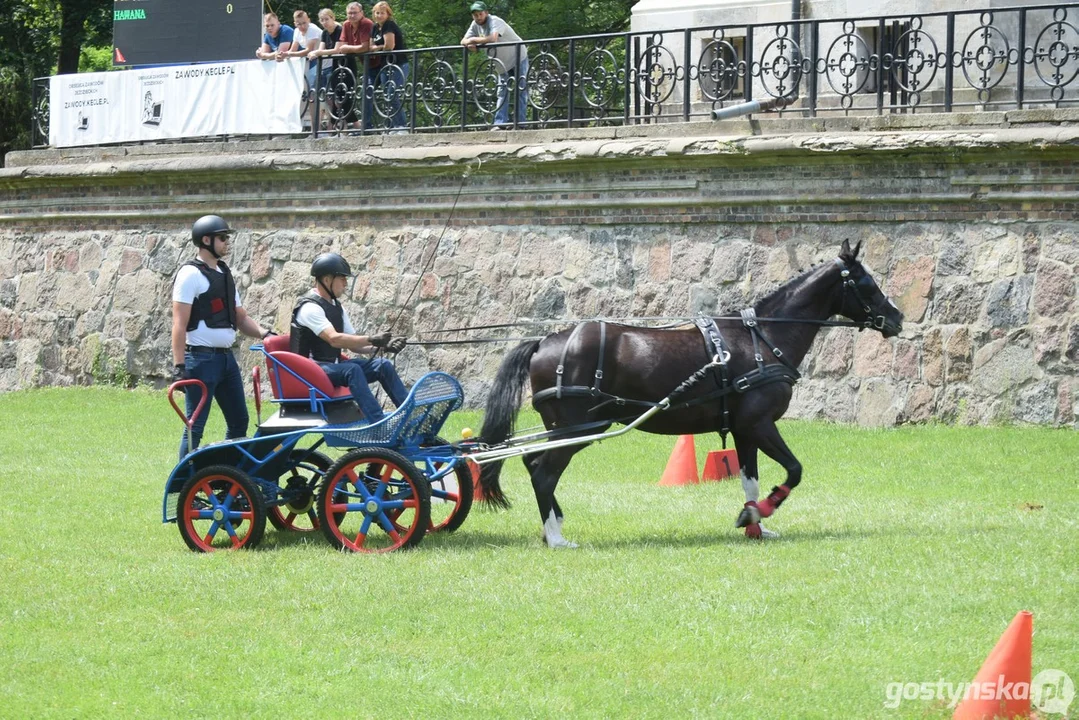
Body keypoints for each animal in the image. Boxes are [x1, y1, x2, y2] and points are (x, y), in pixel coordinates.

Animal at [476, 239, 906, 548]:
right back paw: (556, 537)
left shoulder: (744, 429)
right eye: (866, 283)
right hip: (579, 428)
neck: (762, 338)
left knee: (533, 463)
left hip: (564, 429)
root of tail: (545, 341)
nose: (897, 317)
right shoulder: (760, 423)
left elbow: (749, 479)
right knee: (544, 473)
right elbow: (794, 470)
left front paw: (754, 523)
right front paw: (760, 512)